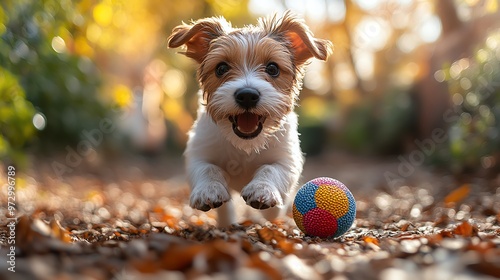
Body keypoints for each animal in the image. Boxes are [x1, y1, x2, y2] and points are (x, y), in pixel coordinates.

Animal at [167, 10, 332, 228]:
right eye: (221, 68)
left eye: (273, 68)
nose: (247, 95)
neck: (244, 145)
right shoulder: (199, 153)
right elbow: (208, 169)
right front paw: (208, 191)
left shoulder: (287, 159)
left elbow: (271, 170)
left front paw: (264, 191)